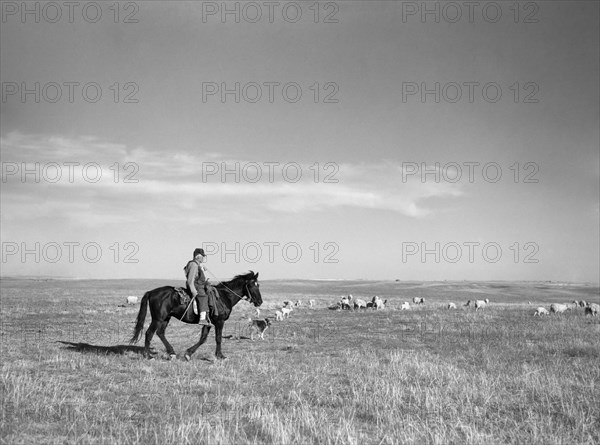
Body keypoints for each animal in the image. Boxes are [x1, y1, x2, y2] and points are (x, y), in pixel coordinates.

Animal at [130, 268, 262, 360]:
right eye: (251, 285)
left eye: (258, 285)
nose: (260, 302)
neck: (224, 297)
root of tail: (151, 292)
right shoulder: (219, 321)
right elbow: (218, 338)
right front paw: (220, 356)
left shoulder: (208, 323)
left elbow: (203, 338)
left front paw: (188, 353)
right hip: (158, 319)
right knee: (149, 333)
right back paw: (148, 356)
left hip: (165, 318)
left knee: (160, 333)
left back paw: (172, 353)